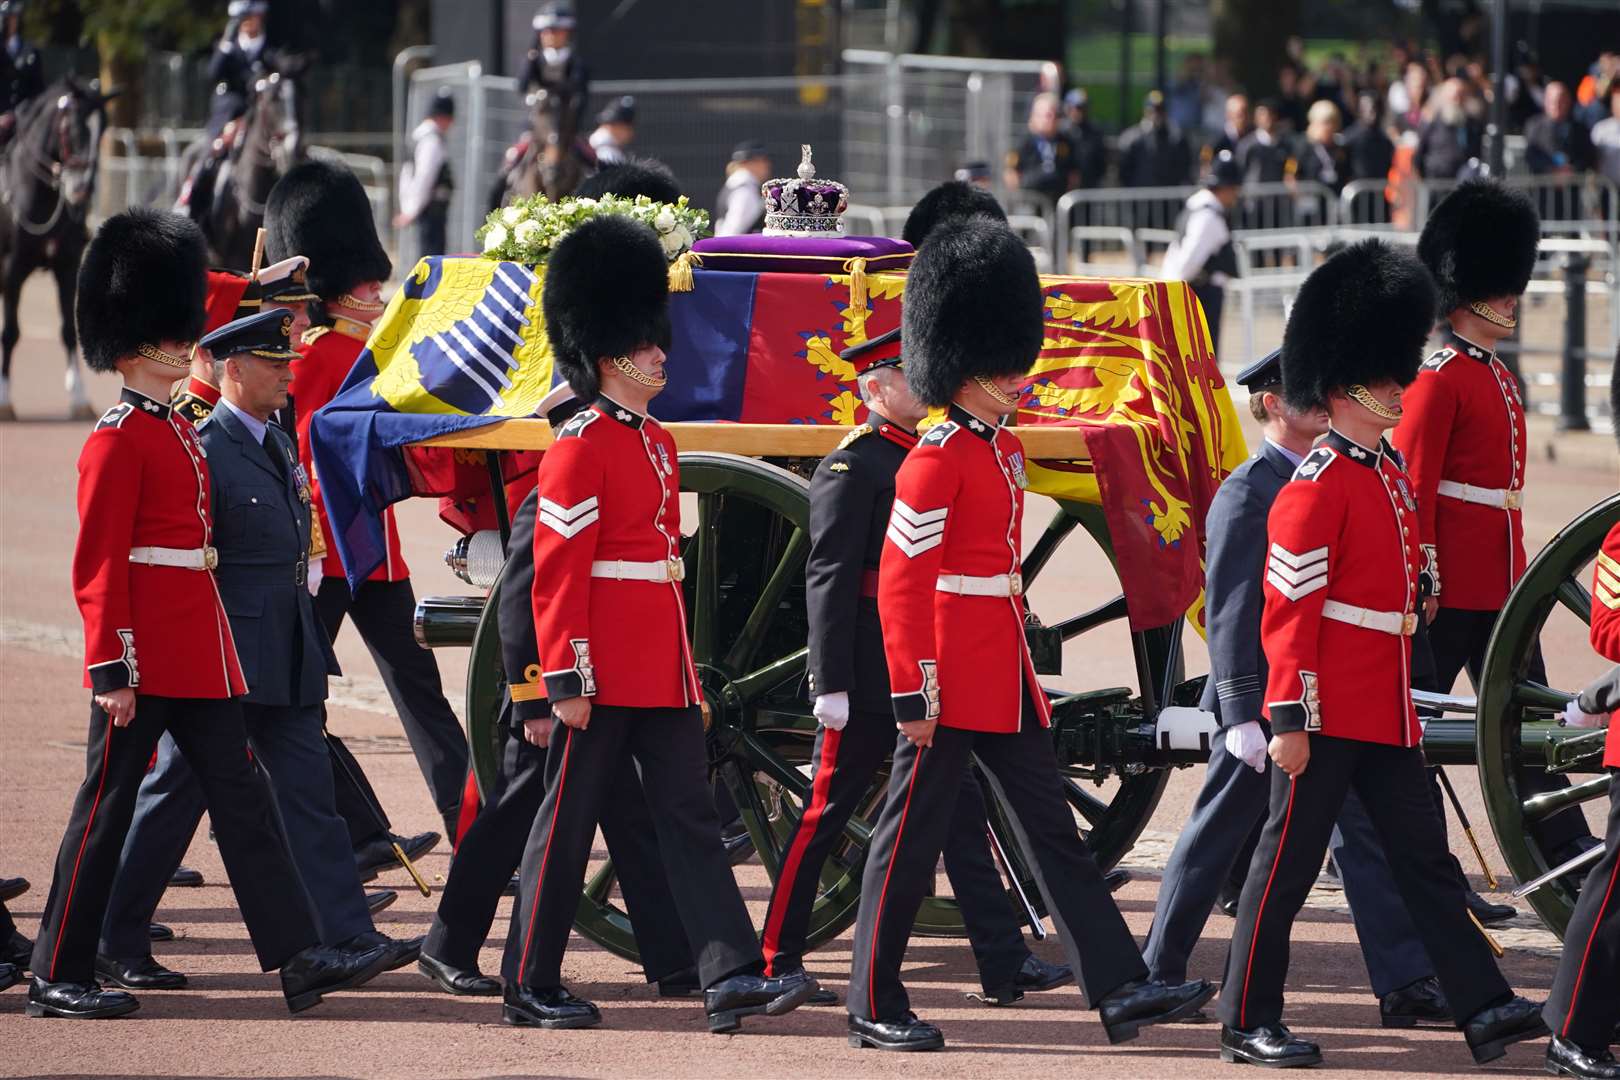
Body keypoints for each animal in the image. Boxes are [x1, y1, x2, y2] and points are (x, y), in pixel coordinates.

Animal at [0, 76, 112, 420]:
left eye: (104, 128)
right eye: (72, 127)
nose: (82, 189)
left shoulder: (67, 267)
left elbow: (68, 331)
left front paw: (79, 398)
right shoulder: (13, 268)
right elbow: (10, 332)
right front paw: (5, 399)